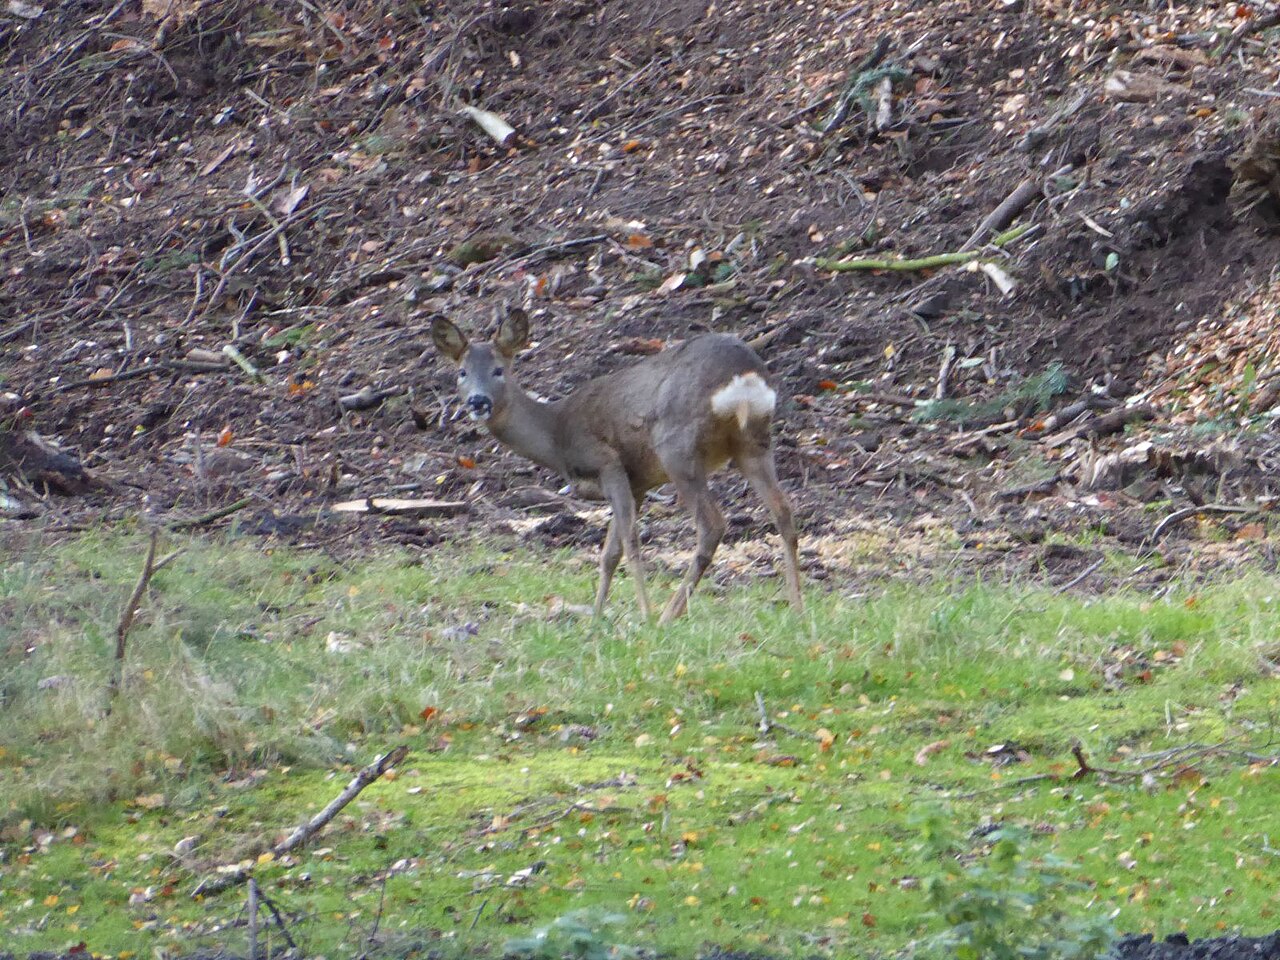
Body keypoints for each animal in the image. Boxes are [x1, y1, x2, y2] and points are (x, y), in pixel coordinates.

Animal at [430, 307, 803, 624]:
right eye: (462, 372)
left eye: (499, 370)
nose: (478, 401)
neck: (557, 435)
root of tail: (745, 375)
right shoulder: (636, 482)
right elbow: (610, 553)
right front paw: (596, 617)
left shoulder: (608, 463)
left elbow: (631, 543)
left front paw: (644, 615)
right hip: (753, 442)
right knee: (783, 510)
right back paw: (795, 604)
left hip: (677, 446)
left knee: (712, 524)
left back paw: (668, 615)